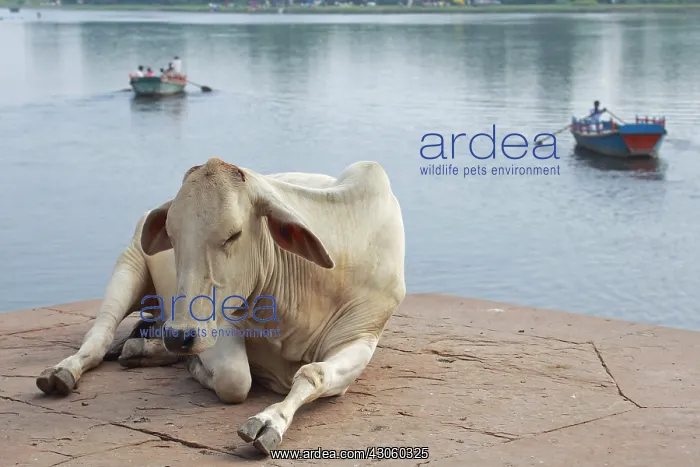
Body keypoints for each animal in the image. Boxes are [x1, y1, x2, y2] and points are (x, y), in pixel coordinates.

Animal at [36, 158, 406, 455]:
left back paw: (144, 349)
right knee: (100, 334)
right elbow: (234, 379)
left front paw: (270, 423)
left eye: (233, 235)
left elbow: (313, 375)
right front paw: (198, 368)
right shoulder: (217, 322)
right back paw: (65, 371)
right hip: (130, 264)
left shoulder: (362, 338)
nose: (179, 337)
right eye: (172, 234)